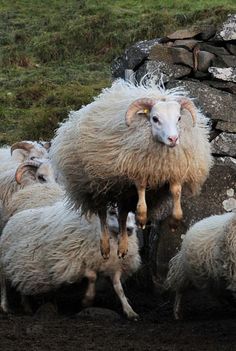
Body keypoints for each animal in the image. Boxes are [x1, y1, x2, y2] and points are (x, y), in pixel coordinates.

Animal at [0, 206, 140, 322]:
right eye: (112, 212)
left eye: (131, 213)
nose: (130, 229)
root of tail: (15, 216)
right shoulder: (73, 262)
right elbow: (92, 277)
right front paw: (87, 300)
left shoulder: (115, 267)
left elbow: (119, 289)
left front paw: (130, 311)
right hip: (5, 263)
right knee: (4, 285)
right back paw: (5, 306)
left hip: (21, 265)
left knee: (21, 284)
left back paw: (27, 307)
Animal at [49, 77, 212, 258]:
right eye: (155, 118)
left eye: (178, 118)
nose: (173, 139)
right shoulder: (136, 167)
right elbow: (140, 188)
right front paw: (141, 217)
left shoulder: (175, 169)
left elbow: (176, 192)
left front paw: (175, 222)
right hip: (95, 185)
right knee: (102, 215)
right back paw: (105, 247)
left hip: (123, 192)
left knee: (122, 215)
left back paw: (122, 247)